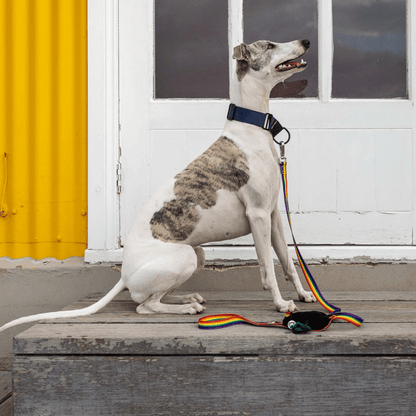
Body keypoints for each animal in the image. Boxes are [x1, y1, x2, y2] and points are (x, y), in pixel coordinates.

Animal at [1, 37, 316, 334]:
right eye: (270, 45)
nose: (306, 41)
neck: (250, 130)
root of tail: (124, 276)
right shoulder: (258, 215)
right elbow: (268, 269)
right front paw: (281, 304)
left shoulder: (272, 215)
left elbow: (288, 261)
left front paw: (303, 294)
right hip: (185, 256)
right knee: (145, 305)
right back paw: (185, 308)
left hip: (196, 254)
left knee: (153, 297)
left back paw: (188, 298)